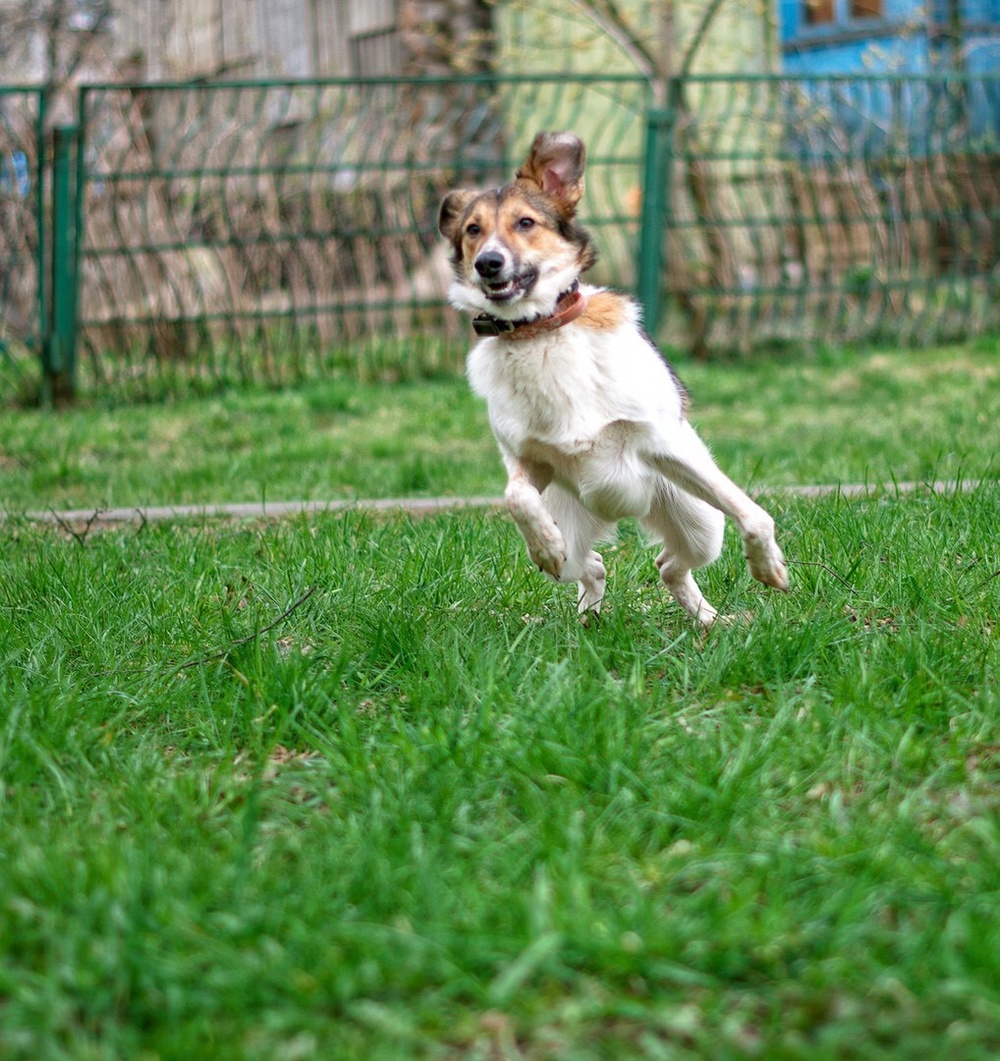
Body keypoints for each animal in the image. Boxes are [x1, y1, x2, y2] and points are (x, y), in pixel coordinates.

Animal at [436, 129, 788, 623]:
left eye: (525, 222)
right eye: (473, 229)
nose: (488, 263)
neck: (539, 332)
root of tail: (613, 511)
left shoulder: (665, 445)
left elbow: (754, 515)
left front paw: (768, 567)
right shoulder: (529, 461)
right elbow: (516, 496)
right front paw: (544, 546)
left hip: (698, 521)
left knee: (669, 564)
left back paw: (708, 621)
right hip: (574, 522)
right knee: (594, 564)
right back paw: (588, 612)